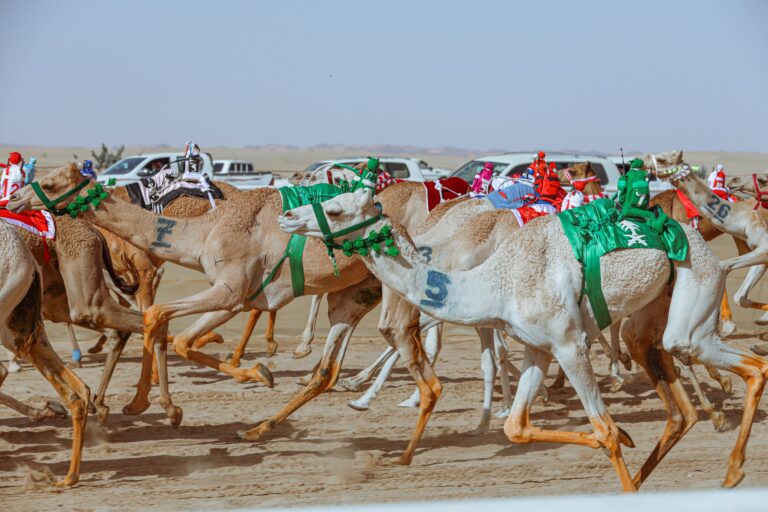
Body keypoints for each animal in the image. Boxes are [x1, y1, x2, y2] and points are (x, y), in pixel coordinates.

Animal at [279, 185, 768, 490]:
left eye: (336, 209)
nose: (287, 216)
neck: (494, 282)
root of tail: (696, 238)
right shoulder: (537, 348)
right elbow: (515, 427)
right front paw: (628, 439)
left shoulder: (569, 343)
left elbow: (604, 430)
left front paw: (620, 438)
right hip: (651, 316)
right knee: (673, 393)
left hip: (697, 285)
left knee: (735, 361)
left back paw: (732, 469)